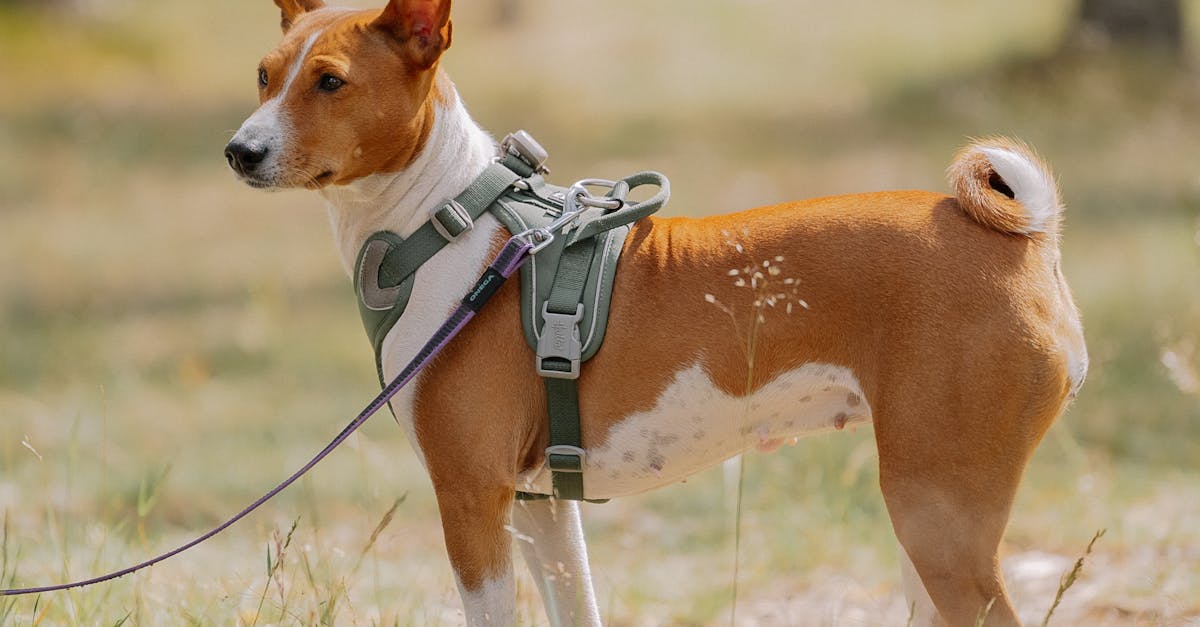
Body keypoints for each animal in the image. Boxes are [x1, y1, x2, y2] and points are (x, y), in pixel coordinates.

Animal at [225, 2, 1089, 619]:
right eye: (264, 75)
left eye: (330, 82)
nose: (240, 150)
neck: (445, 223)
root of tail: (1028, 238)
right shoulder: (540, 504)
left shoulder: (472, 498)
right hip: (921, 510)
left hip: (939, 515)